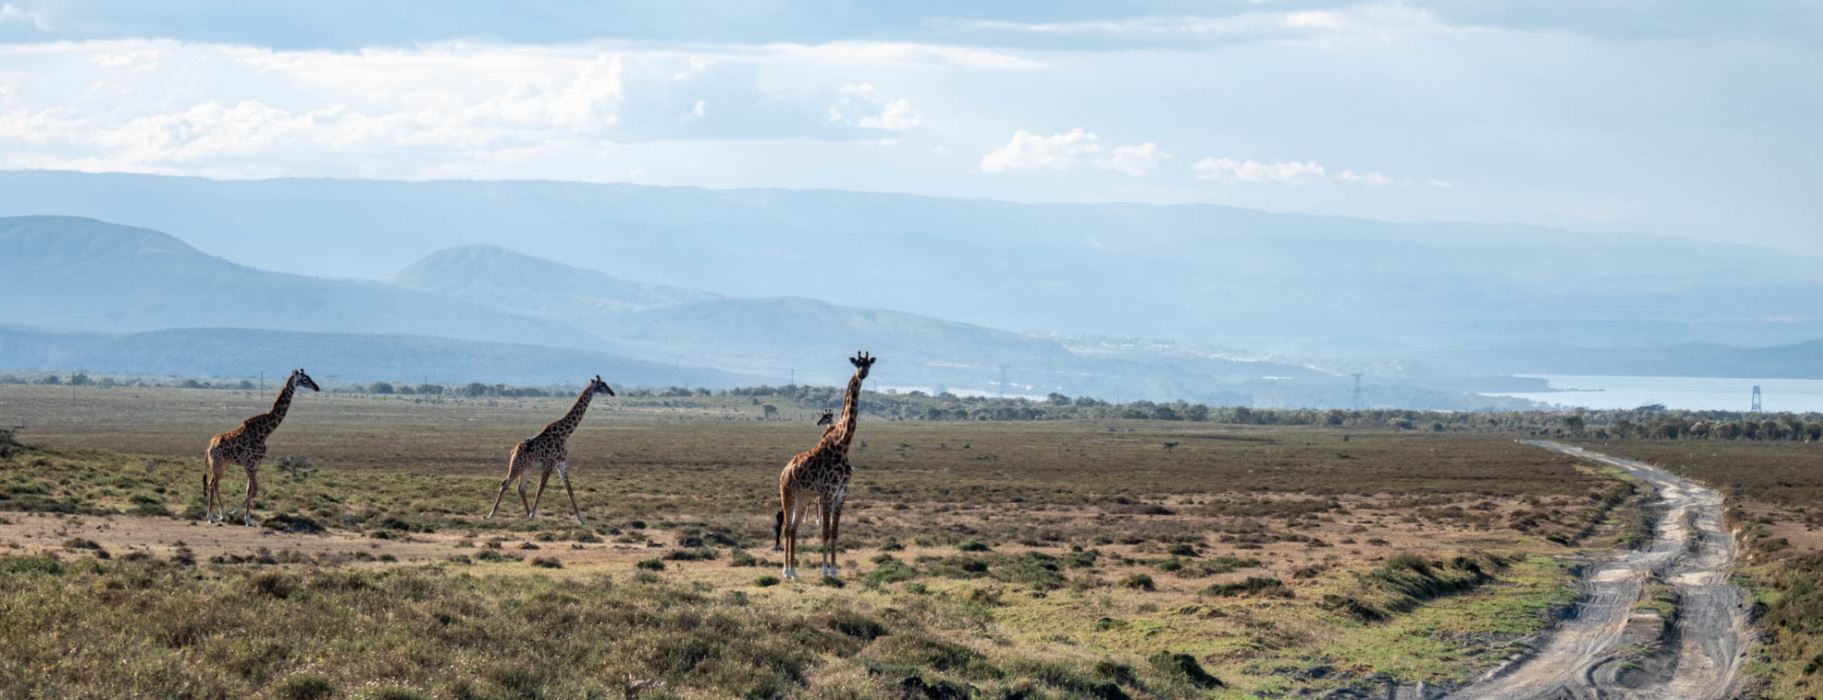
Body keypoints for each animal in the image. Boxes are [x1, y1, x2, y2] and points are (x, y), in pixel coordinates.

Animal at [205, 368, 322, 521]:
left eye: (309, 377)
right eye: (305, 379)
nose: (317, 387)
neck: (265, 432)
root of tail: (210, 444)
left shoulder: (256, 464)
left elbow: (250, 490)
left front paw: (248, 518)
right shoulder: (249, 463)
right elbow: (254, 490)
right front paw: (237, 515)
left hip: (224, 463)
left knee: (214, 483)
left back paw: (220, 514)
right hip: (217, 463)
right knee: (213, 484)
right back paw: (213, 516)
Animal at [484, 377, 612, 525]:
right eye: (602, 385)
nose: (612, 392)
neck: (565, 434)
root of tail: (513, 451)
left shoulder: (561, 463)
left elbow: (569, 489)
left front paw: (581, 519)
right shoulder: (549, 464)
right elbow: (540, 489)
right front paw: (533, 514)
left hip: (526, 469)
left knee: (521, 488)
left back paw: (527, 513)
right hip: (517, 466)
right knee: (504, 484)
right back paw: (492, 514)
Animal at [776, 350, 875, 579]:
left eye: (869, 364)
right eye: (857, 363)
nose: (862, 374)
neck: (843, 443)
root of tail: (784, 472)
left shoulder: (841, 494)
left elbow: (835, 532)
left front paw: (835, 569)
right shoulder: (828, 493)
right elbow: (825, 532)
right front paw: (824, 570)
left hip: (803, 499)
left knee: (793, 528)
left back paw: (794, 571)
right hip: (788, 494)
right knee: (786, 528)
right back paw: (786, 570)